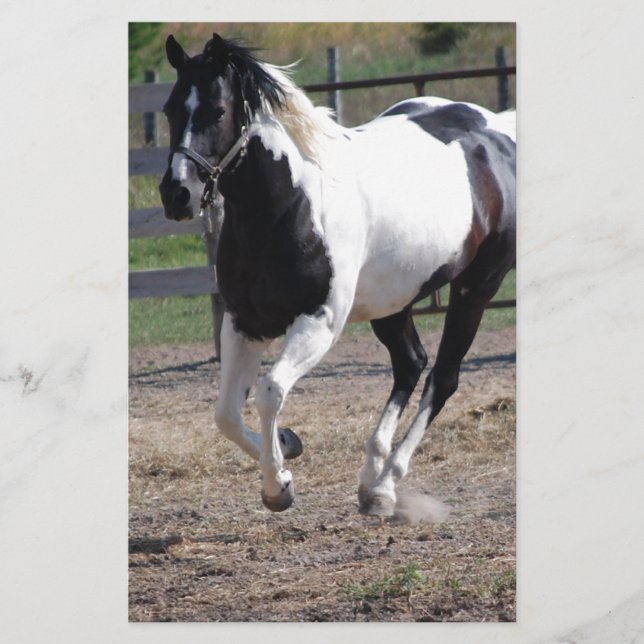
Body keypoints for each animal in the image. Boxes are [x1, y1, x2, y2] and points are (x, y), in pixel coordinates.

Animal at [159, 33, 516, 516]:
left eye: (216, 110)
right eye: (169, 109)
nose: (176, 194)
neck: (286, 206)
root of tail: (497, 133)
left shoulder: (319, 322)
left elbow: (270, 391)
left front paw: (278, 487)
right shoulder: (244, 322)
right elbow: (226, 414)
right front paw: (288, 446)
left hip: (474, 289)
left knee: (442, 378)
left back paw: (386, 485)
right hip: (392, 300)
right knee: (411, 363)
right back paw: (370, 481)